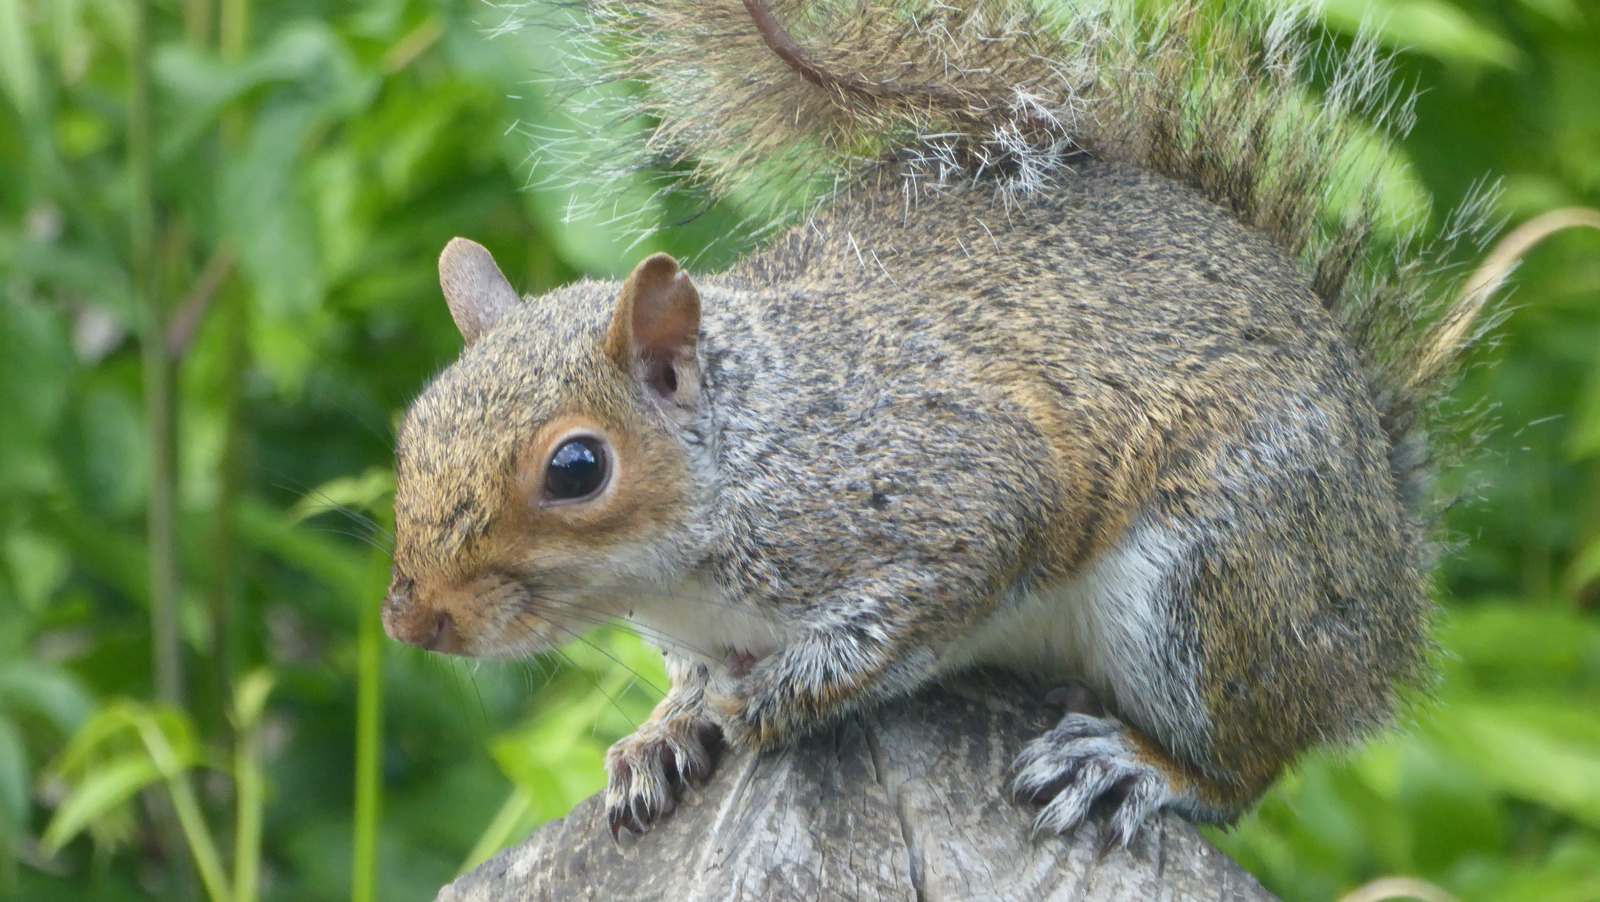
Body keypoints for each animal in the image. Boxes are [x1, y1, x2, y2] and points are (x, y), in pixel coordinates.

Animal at [380, 0, 1504, 844]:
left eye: (577, 468)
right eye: (412, 427)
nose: (412, 620)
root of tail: (1390, 568)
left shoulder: (954, 497)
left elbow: (892, 626)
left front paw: (759, 703)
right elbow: (690, 680)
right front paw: (662, 730)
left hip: (1219, 582)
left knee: (1248, 764)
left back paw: (1139, 766)